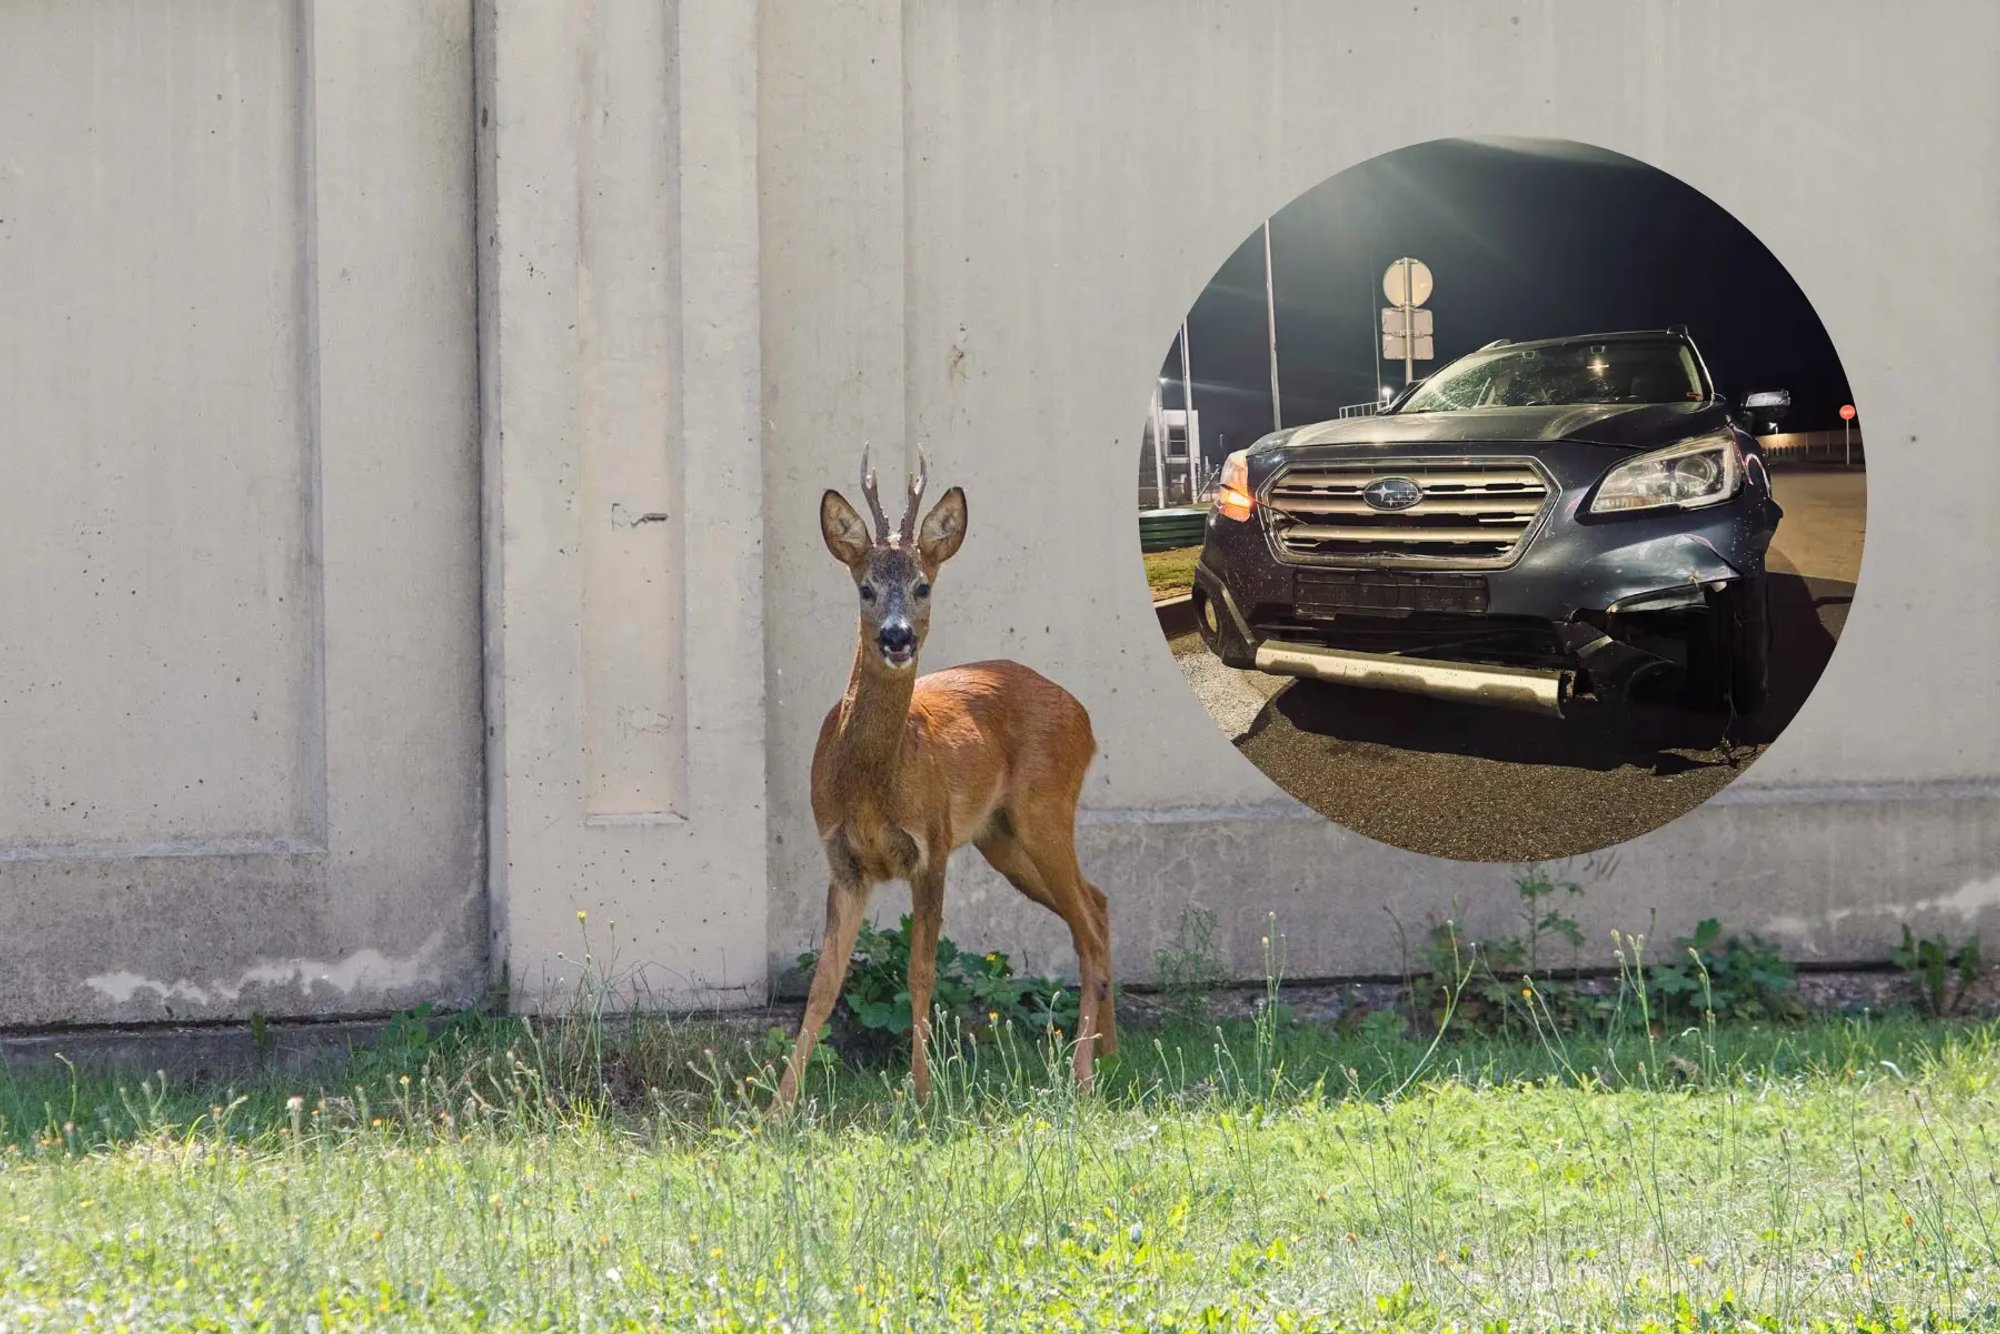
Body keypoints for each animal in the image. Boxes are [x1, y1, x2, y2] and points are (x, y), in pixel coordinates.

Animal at [773, 449, 1115, 1111]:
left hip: (1045, 809)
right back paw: (1111, 1051)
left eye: (922, 585)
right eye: (865, 587)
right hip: (1000, 838)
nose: (896, 636)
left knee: (1086, 926)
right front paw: (777, 1108)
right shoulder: (843, 862)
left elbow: (920, 972)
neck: (870, 787)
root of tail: (1084, 715)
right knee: (1098, 902)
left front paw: (925, 1095)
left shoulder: (929, 846)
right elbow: (824, 984)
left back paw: (1083, 1074)